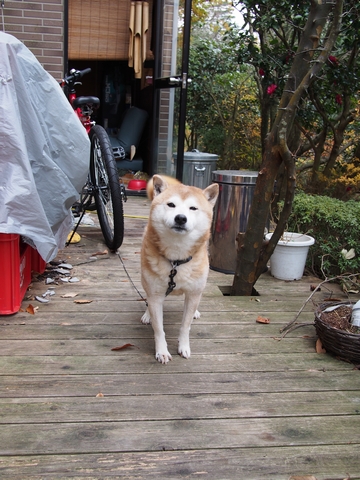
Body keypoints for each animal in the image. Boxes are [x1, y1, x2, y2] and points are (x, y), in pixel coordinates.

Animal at [141, 174, 219, 362]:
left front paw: (183, 346)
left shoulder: (193, 293)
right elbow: (158, 329)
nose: (181, 218)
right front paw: (162, 351)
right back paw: (147, 315)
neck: (176, 260)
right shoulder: (155, 295)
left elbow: (185, 325)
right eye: (171, 205)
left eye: (193, 208)